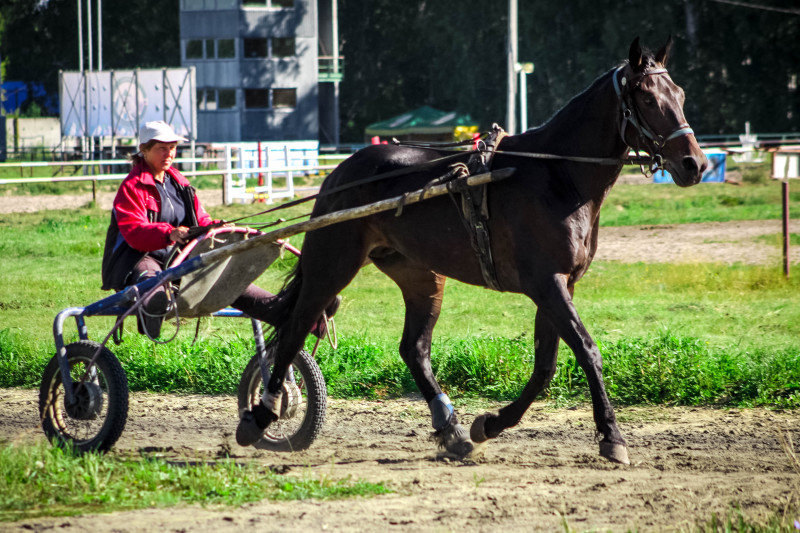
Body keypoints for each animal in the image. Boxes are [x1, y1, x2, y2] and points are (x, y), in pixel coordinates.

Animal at [238, 37, 708, 464]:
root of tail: (340, 173)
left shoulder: (559, 285)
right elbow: (587, 351)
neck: (555, 176)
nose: (696, 164)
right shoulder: (546, 283)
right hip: (332, 262)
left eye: (681, 95)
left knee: (414, 349)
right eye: (647, 97)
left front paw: (490, 424)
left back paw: (451, 430)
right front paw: (612, 436)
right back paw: (262, 413)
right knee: (296, 327)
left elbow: (545, 366)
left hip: (421, 276)